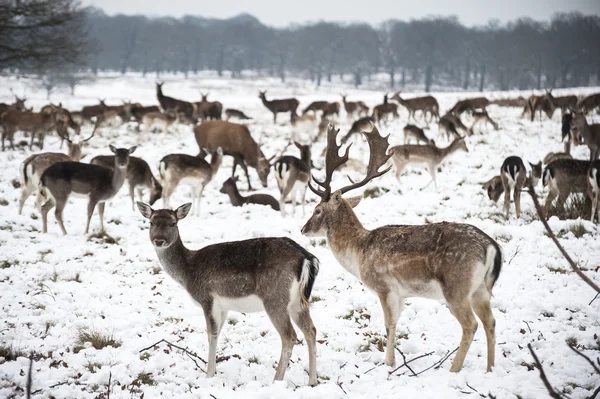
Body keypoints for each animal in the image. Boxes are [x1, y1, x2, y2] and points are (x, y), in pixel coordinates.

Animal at [135, 203, 318, 388]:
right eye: (151, 222)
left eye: (173, 223)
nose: (159, 240)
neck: (187, 272)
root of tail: (307, 258)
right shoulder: (223, 307)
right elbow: (216, 334)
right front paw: (214, 371)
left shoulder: (207, 298)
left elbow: (211, 334)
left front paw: (208, 375)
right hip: (297, 302)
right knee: (311, 330)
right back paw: (312, 380)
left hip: (275, 298)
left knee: (289, 336)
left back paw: (276, 380)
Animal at [302, 122, 504, 376]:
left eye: (317, 210)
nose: (303, 228)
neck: (358, 253)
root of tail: (491, 247)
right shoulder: (401, 293)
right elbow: (396, 322)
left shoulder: (384, 286)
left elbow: (389, 323)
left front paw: (388, 363)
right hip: (481, 289)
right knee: (491, 321)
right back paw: (490, 369)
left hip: (456, 287)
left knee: (471, 324)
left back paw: (453, 369)